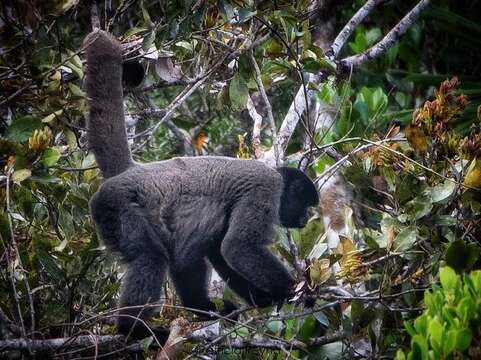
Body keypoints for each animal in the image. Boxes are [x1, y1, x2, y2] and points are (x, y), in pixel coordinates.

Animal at [83, 31, 318, 344]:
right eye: (305, 204)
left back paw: (202, 309)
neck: (277, 179)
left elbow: (221, 250)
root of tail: (131, 171)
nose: (306, 217)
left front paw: (262, 298)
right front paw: (295, 291)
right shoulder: (265, 188)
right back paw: (133, 329)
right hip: (116, 207)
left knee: (185, 256)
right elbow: (238, 247)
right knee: (150, 258)